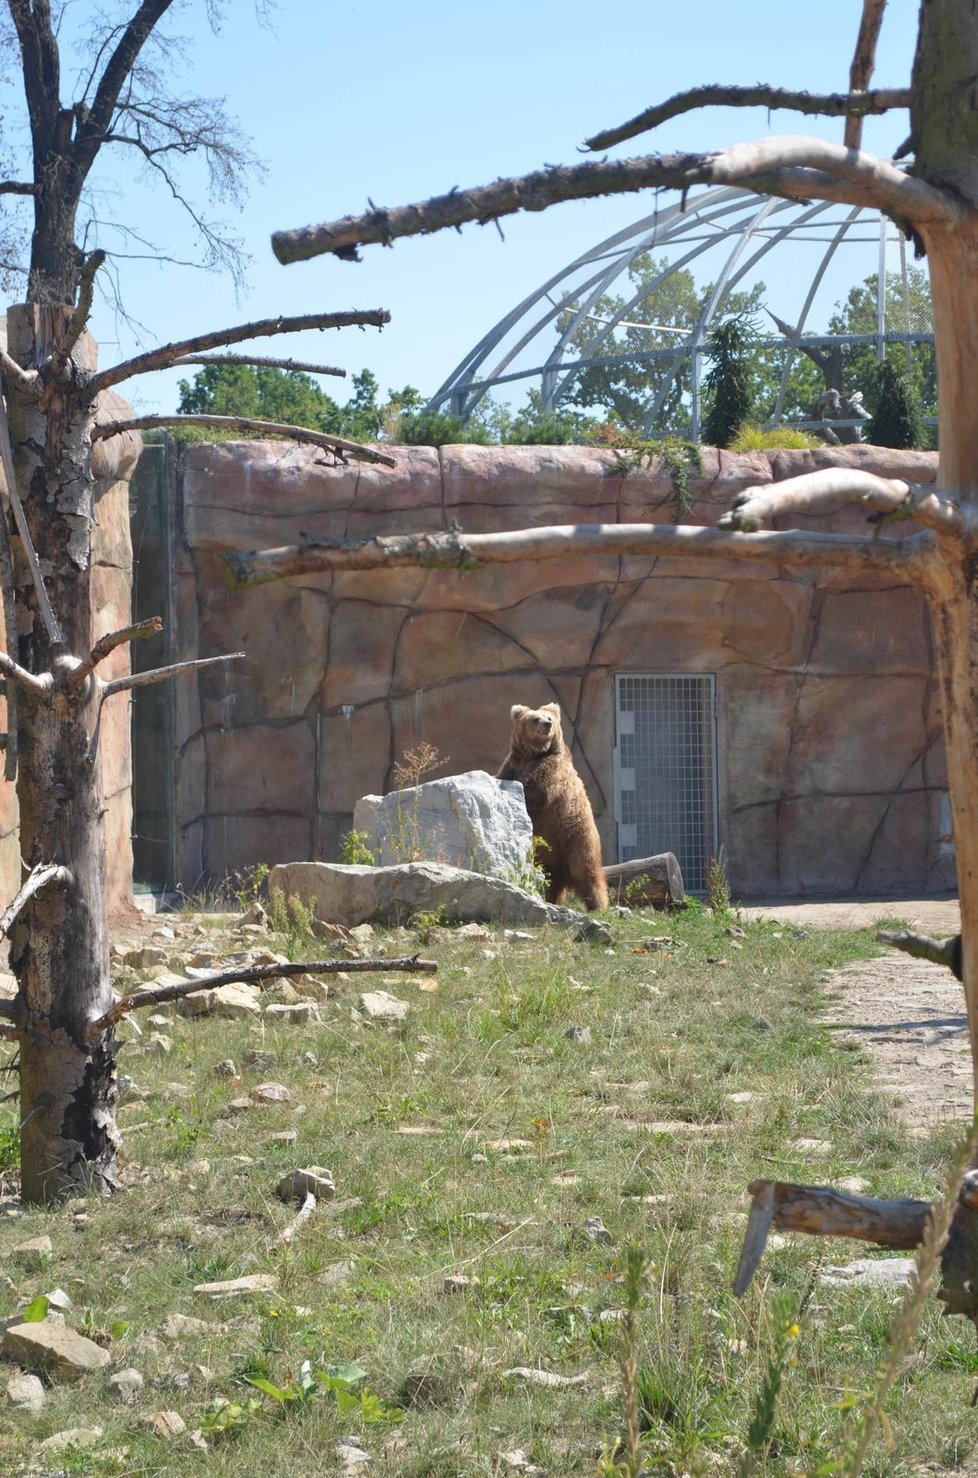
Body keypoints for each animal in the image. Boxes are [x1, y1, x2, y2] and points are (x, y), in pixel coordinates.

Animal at [502, 700, 608, 910]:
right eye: (536, 718)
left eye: (549, 718)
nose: (547, 725)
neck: (533, 755)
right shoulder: (513, 763)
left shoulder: (551, 770)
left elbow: (538, 793)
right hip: (551, 851)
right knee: (550, 879)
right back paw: (551, 898)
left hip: (576, 835)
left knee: (587, 873)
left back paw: (598, 905)